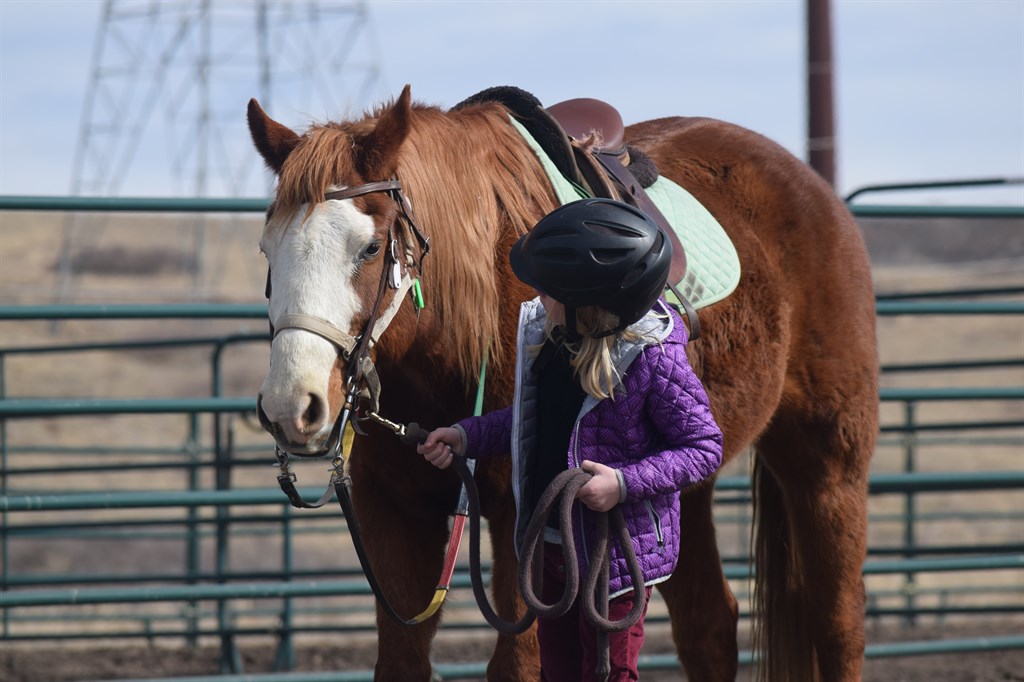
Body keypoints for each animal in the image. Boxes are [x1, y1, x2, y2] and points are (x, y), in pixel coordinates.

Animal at [247, 86, 880, 679]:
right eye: (266, 249)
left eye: (372, 247)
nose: (292, 406)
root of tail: (815, 189)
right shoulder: (393, 513)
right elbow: (401, 663)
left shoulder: (525, 517)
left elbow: (520, 665)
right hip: (675, 486)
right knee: (710, 627)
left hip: (828, 462)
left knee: (838, 623)